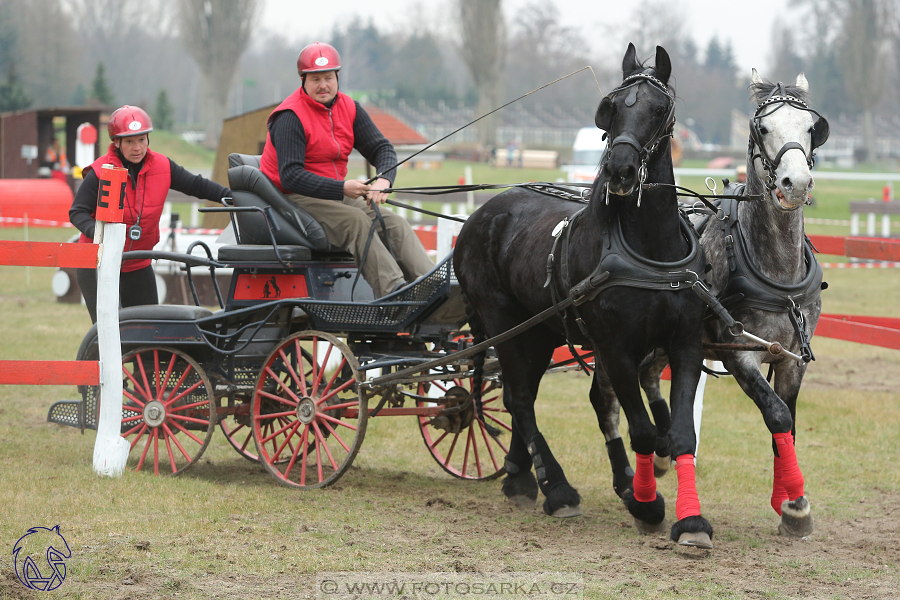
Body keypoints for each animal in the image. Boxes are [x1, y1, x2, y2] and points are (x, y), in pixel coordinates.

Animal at [458, 42, 716, 548]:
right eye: (612, 107)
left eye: (659, 110)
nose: (620, 170)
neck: (648, 250)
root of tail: (482, 213)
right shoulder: (615, 348)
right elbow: (641, 431)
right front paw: (647, 504)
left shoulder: (684, 344)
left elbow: (679, 434)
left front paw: (691, 520)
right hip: (501, 322)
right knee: (520, 397)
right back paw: (557, 489)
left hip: (538, 331)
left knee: (521, 394)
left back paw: (522, 476)